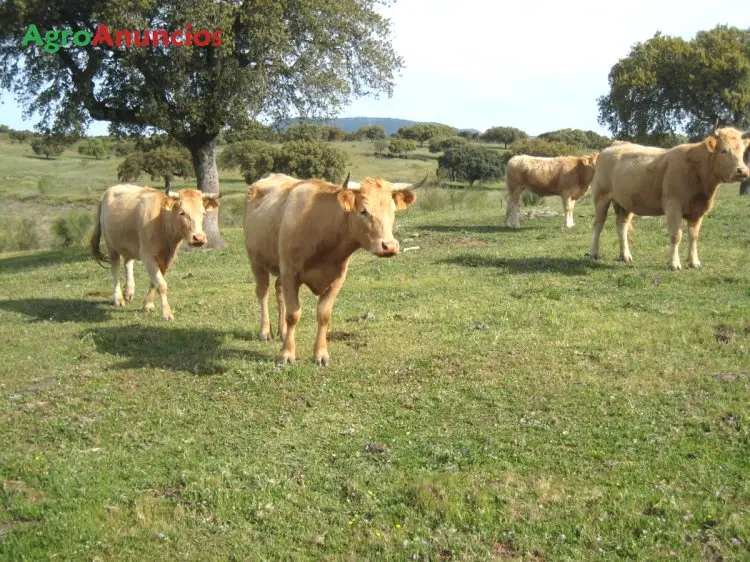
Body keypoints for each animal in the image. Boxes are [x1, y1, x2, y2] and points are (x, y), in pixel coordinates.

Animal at [90, 184, 220, 320]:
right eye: (182, 213)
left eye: (203, 213)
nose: (199, 238)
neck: (162, 223)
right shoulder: (147, 256)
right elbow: (161, 284)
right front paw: (167, 313)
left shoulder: (167, 257)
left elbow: (154, 281)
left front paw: (148, 304)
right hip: (111, 246)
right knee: (115, 270)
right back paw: (118, 298)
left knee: (128, 262)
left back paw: (129, 292)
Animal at [244, 171, 426, 364]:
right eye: (363, 211)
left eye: (393, 211)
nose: (389, 246)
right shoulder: (290, 274)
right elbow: (293, 315)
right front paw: (287, 354)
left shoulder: (336, 279)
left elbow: (324, 315)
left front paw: (321, 354)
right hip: (256, 260)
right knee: (263, 293)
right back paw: (265, 331)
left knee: (278, 292)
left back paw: (282, 331)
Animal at [592, 126, 748, 270]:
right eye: (723, 151)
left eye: (742, 152)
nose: (743, 171)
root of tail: (616, 145)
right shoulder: (673, 206)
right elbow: (676, 235)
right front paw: (674, 263)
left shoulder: (698, 211)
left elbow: (694, 236)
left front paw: (694, 262)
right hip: (601, 197)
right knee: (598, 225)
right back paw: (594, 253)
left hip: (625, 203)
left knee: (622, 226)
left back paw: (625, 255)